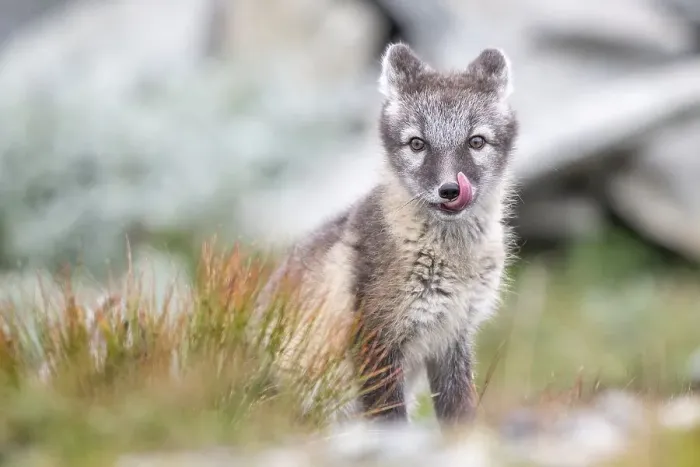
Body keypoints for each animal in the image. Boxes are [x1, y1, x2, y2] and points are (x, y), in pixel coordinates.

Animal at [257, 43, 519, 427]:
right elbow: (390, 418)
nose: (450, 190)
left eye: (476, 141)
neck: (452, 259)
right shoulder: (376, 339)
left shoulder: (452, 337)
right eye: (417, 144)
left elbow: (460, 412)